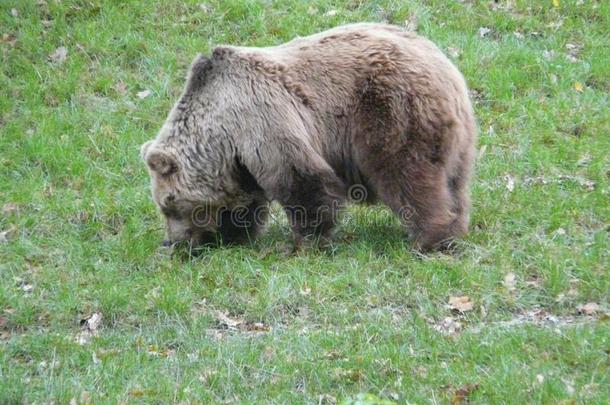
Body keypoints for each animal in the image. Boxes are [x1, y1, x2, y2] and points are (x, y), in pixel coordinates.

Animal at [141, 22, 476, 249]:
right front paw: (231, 236)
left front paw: (306, 239)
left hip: (392, 110)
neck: (218, 133)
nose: (173, 242)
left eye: (169, 204)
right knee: (453, 182)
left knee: (407, 174)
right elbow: (244, 201)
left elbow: (301, 179)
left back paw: (429, 238)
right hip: (457, 140)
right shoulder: (239, 158)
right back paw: (454, 227)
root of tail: (447, 70)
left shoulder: (261, 118)